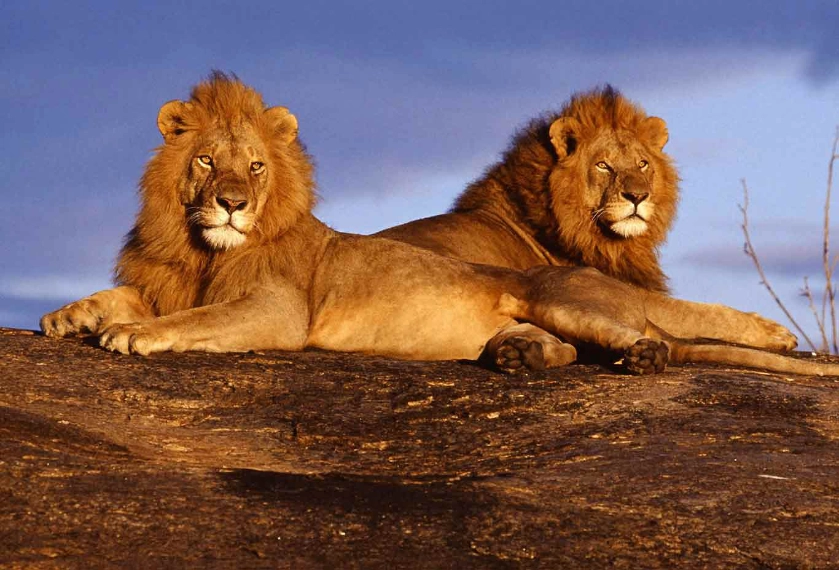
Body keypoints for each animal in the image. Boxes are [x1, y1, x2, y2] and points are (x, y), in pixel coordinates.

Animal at [39, 73, 838, 377]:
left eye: (256, 168)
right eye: (206, 161)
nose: (232, 203)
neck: (201, 247)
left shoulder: (276, 310)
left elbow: (191, 321)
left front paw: (134, 335)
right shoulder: (167, 280)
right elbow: (121, 297)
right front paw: (68, 317)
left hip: (562, 294)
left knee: (654, 338)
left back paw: (640, 356)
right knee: (572, 350)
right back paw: (520, 354)